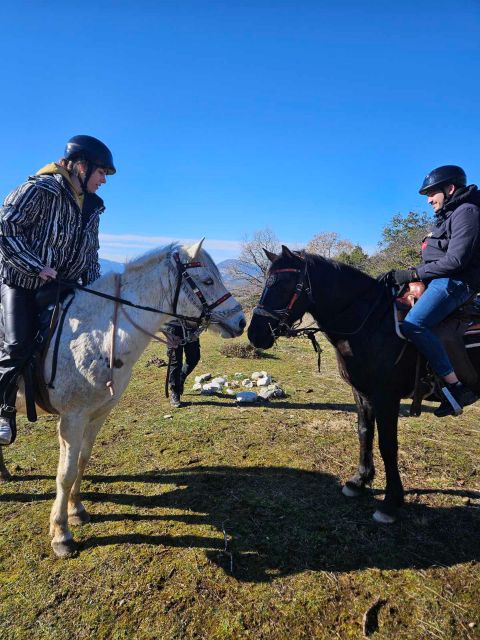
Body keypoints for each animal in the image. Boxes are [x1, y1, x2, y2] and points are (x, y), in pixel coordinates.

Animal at [0, 240, 246, 557]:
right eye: (207, 281)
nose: (240, 321)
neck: (98, 336)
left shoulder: (97, 414)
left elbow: (82, 461)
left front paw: (76, 511)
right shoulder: (71, 419)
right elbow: (65, 473)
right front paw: (61, 534)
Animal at [247, 245, 480, 524]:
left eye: (284, 285)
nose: (255, 334)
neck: (371, 324)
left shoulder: (386, 397)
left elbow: (388, 445)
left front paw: (390, 502)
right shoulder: (362, 393)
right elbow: (365, 433)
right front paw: (360, 480)